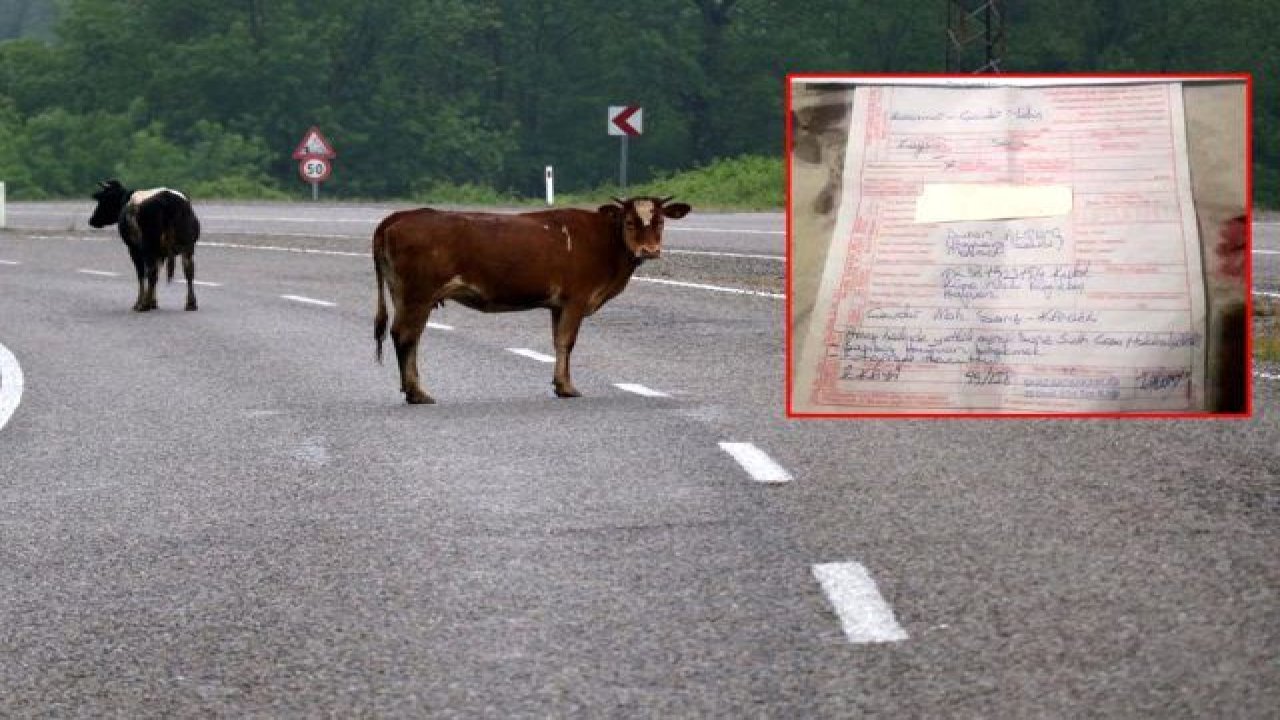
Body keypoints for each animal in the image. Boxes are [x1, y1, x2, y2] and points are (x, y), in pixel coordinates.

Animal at [88, 178, 199, 310]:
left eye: (103, 199)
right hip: (188, 246)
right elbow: (157, 273)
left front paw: (140, 302)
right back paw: (191, 303)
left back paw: (144, 304)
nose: (91, 220)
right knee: (188, 270)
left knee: (150, 272)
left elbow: (141, 274)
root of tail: (167, 197)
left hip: (149, 246)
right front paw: (153, 301)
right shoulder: (159, 253)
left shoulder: (134, 249)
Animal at [371, 193, 691, 399]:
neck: (607, 243)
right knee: (406, 336)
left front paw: (560, 384)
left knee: (404, 335)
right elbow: (566, 342)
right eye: (629, 222)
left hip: (402, 293)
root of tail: (403, 215)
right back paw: (416, 392)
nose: (649, 250)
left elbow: (558, 342)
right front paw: (566, 387)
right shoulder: (576, 299)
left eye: (661, 223)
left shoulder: (558, 305)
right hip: (418, 295)